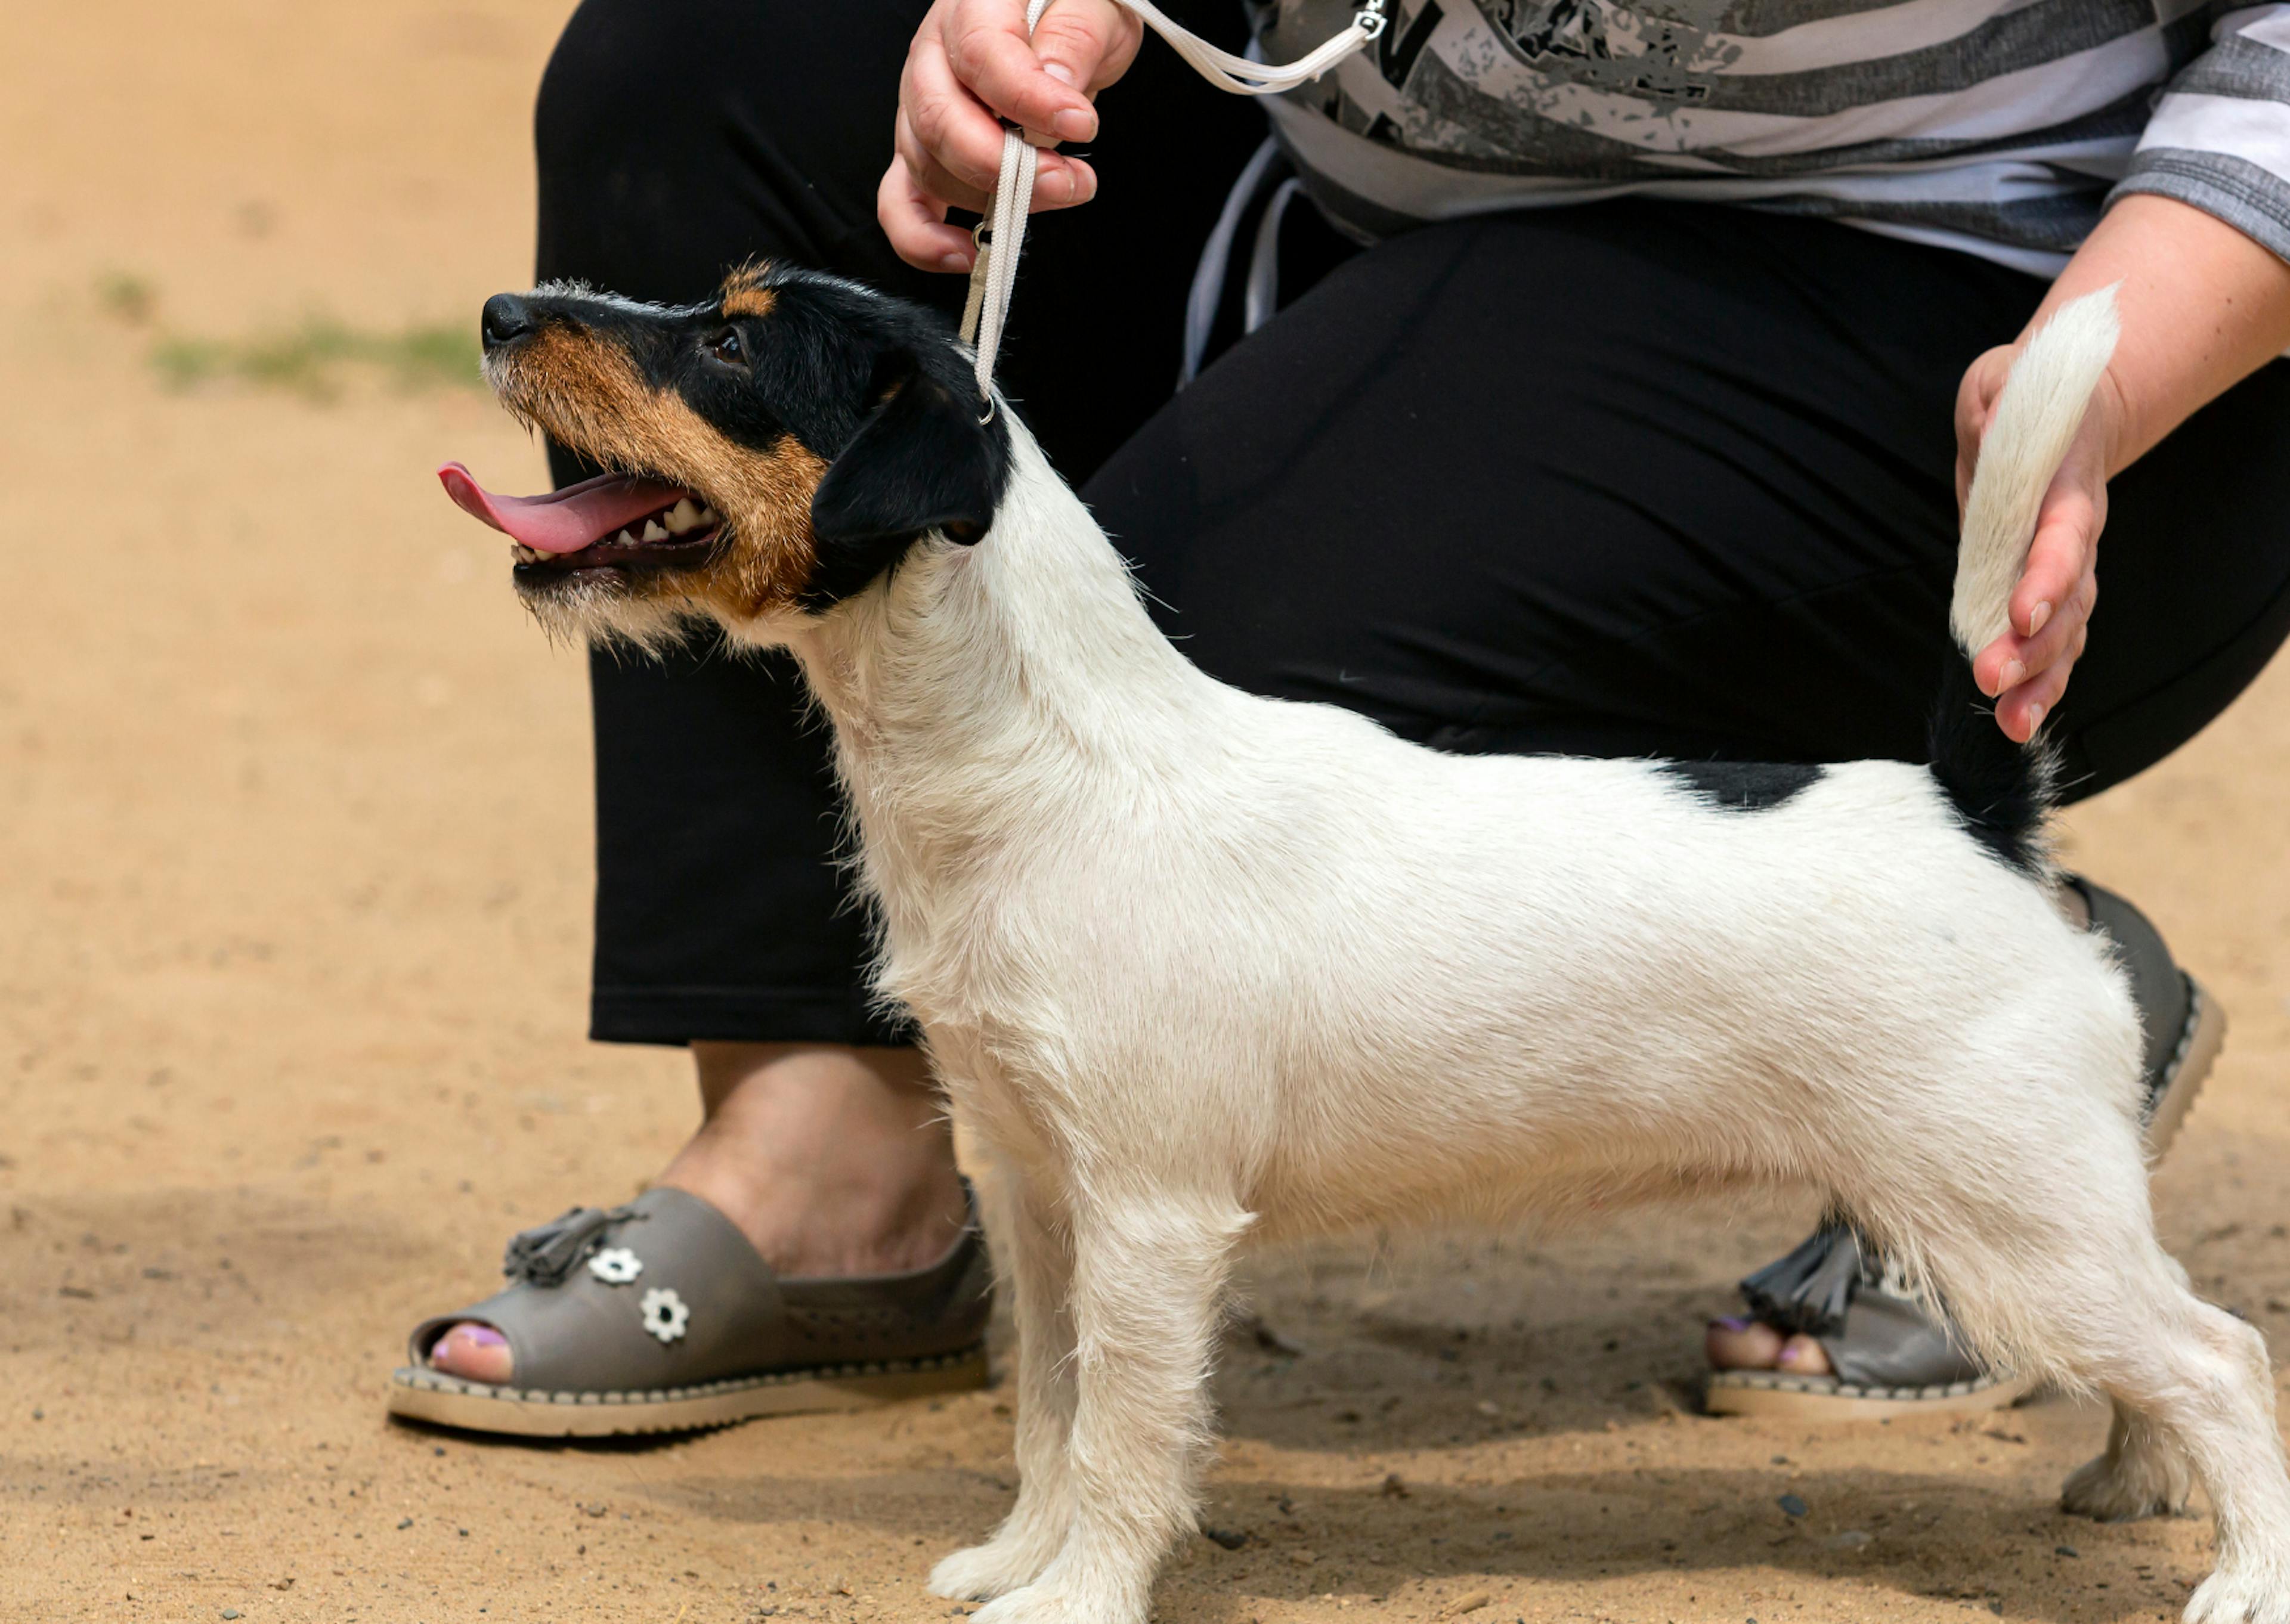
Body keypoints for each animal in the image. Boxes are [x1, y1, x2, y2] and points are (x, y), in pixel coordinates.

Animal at [437, 269, 2290, 1622]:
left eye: (731, 338)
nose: (507, 309)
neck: (1055, 762)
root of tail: (1968, 806)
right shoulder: (1034, 1186)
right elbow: (1049, 1407)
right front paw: (1016, 1559)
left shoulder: (1154, 1214)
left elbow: (1126, 1431)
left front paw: (1077, 1598)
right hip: (2032, 1223)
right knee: (2173, 1358)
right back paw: (2129, 1482)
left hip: (2006, 1216)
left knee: (2224, 1355)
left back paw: (2237, 1578)